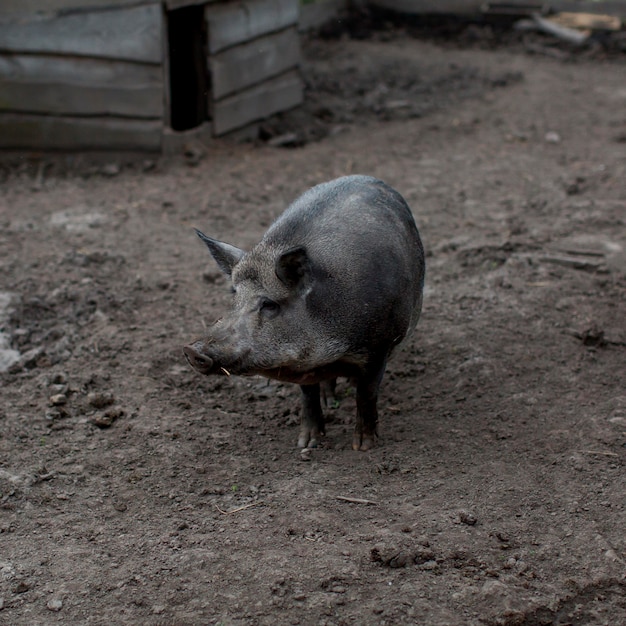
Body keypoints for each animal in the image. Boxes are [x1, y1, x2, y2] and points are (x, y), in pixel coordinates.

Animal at [182, 174, 424, 448]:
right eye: (234, 293)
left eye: (270, 304)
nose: (191, 350)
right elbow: (308, 394)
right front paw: (307, 443)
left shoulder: (380, 347)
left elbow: (366, 394)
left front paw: (363, 446)